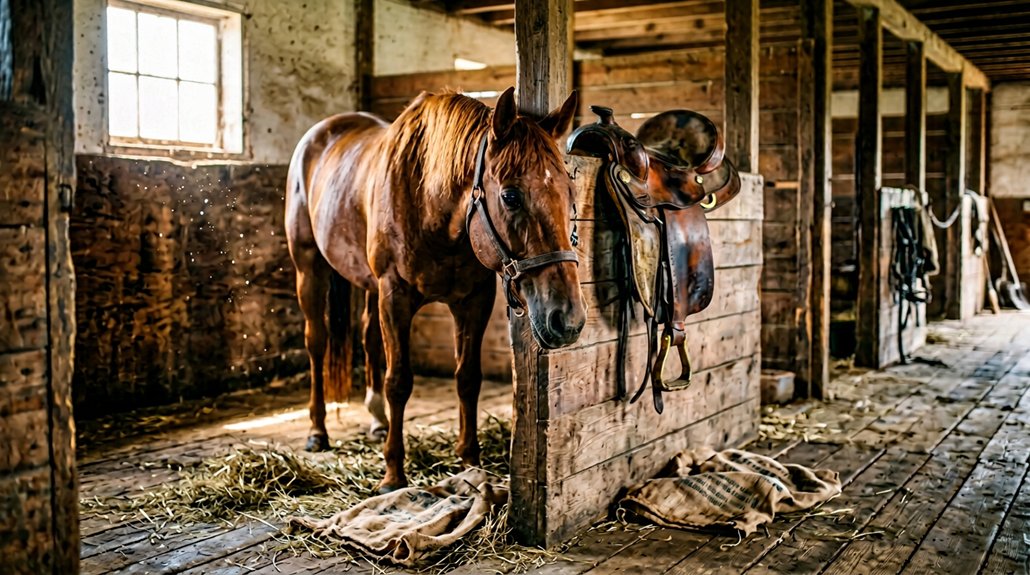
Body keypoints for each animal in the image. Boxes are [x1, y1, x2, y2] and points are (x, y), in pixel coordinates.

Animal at [285, 86, 586, 491]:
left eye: (570, 192)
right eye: (510, 196)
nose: (568, 320)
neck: (428, 199)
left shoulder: (473, 301)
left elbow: (467, 377)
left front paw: (470, 459)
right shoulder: (394, 297)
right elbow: (399, 381)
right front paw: (393, 474)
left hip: (367, 284)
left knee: (368, 338)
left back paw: (377, 421)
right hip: (310, 270)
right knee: (316, 343)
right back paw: (317, 431)